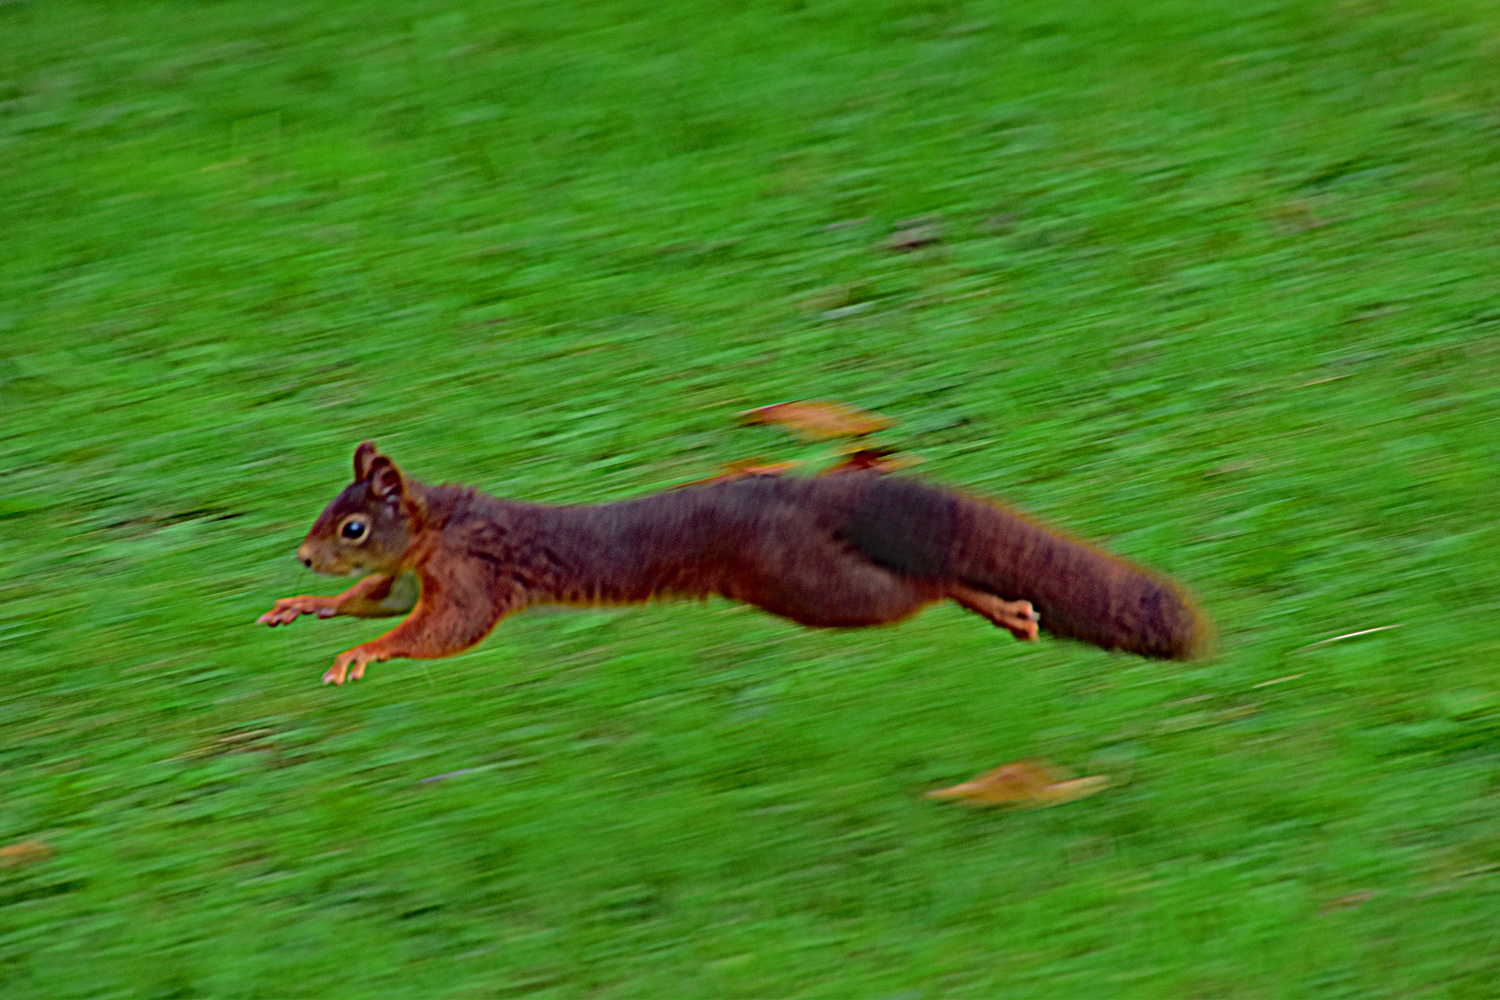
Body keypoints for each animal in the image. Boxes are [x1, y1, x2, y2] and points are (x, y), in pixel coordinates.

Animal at [264, 440, 1212, 683]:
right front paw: (308, 613)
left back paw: (1000, 605)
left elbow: (441, 632)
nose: (305, 558)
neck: (442, 526)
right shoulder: (421, 573)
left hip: (812, 586)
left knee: (924, 583)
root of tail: (807, 496)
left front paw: (360, 656)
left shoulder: (472, 576)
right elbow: (382, 605)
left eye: (353, 527)